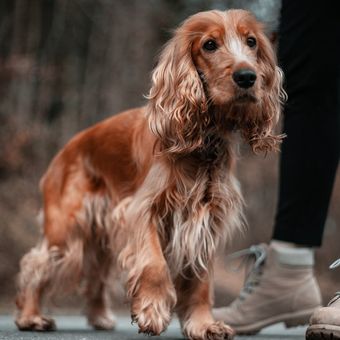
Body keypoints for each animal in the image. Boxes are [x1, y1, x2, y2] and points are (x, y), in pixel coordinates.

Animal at [15, 8, 284, 340]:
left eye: (251, 42)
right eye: (209, 45)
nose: (247, 77)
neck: (203, 144)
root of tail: (64, 150)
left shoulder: (205, 220)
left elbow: (201, 282)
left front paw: (203, 324)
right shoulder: (141, 210)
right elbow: (154, 266)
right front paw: (152, 312)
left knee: (95, 274)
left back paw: (99, 317)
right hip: (66, 229)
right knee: (35, 264)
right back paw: (30, 316)